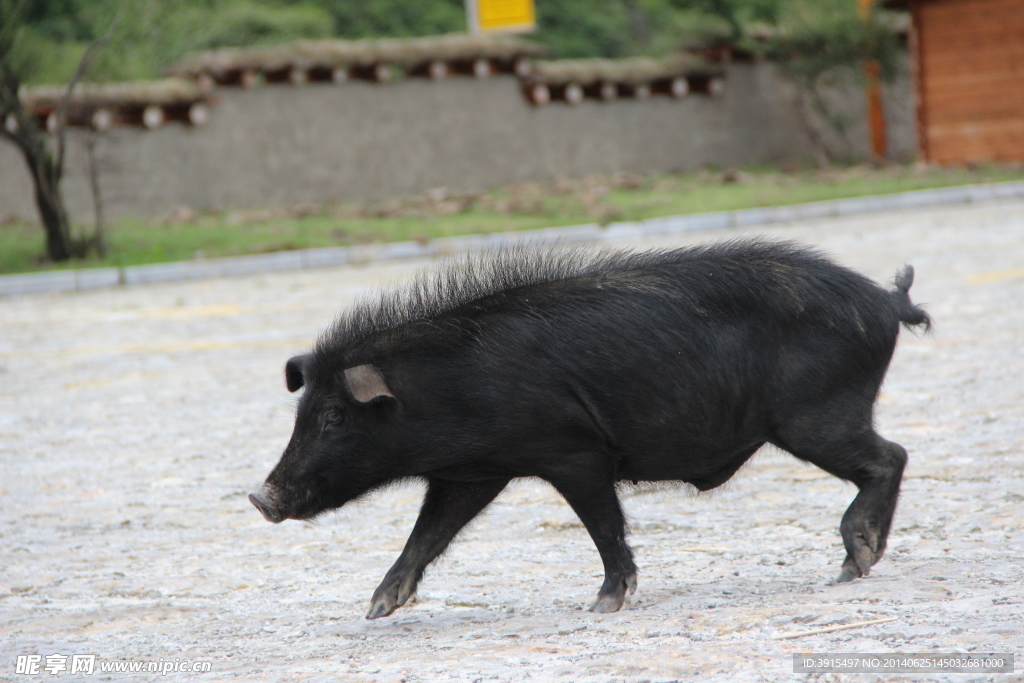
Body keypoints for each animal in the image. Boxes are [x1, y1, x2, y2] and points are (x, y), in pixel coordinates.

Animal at [247, 241, 929, 618]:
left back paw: (851, 564)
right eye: (303, 414)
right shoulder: (471, 474)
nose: (259, 497)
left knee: (891, 455)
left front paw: (603, 604)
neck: (447, 388)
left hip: (816, 417)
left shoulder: (574, 452)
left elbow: (603, 525)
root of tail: (887, 303)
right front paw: (377, 610)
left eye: (334, 416)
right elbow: (428, 535)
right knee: (892, 455)